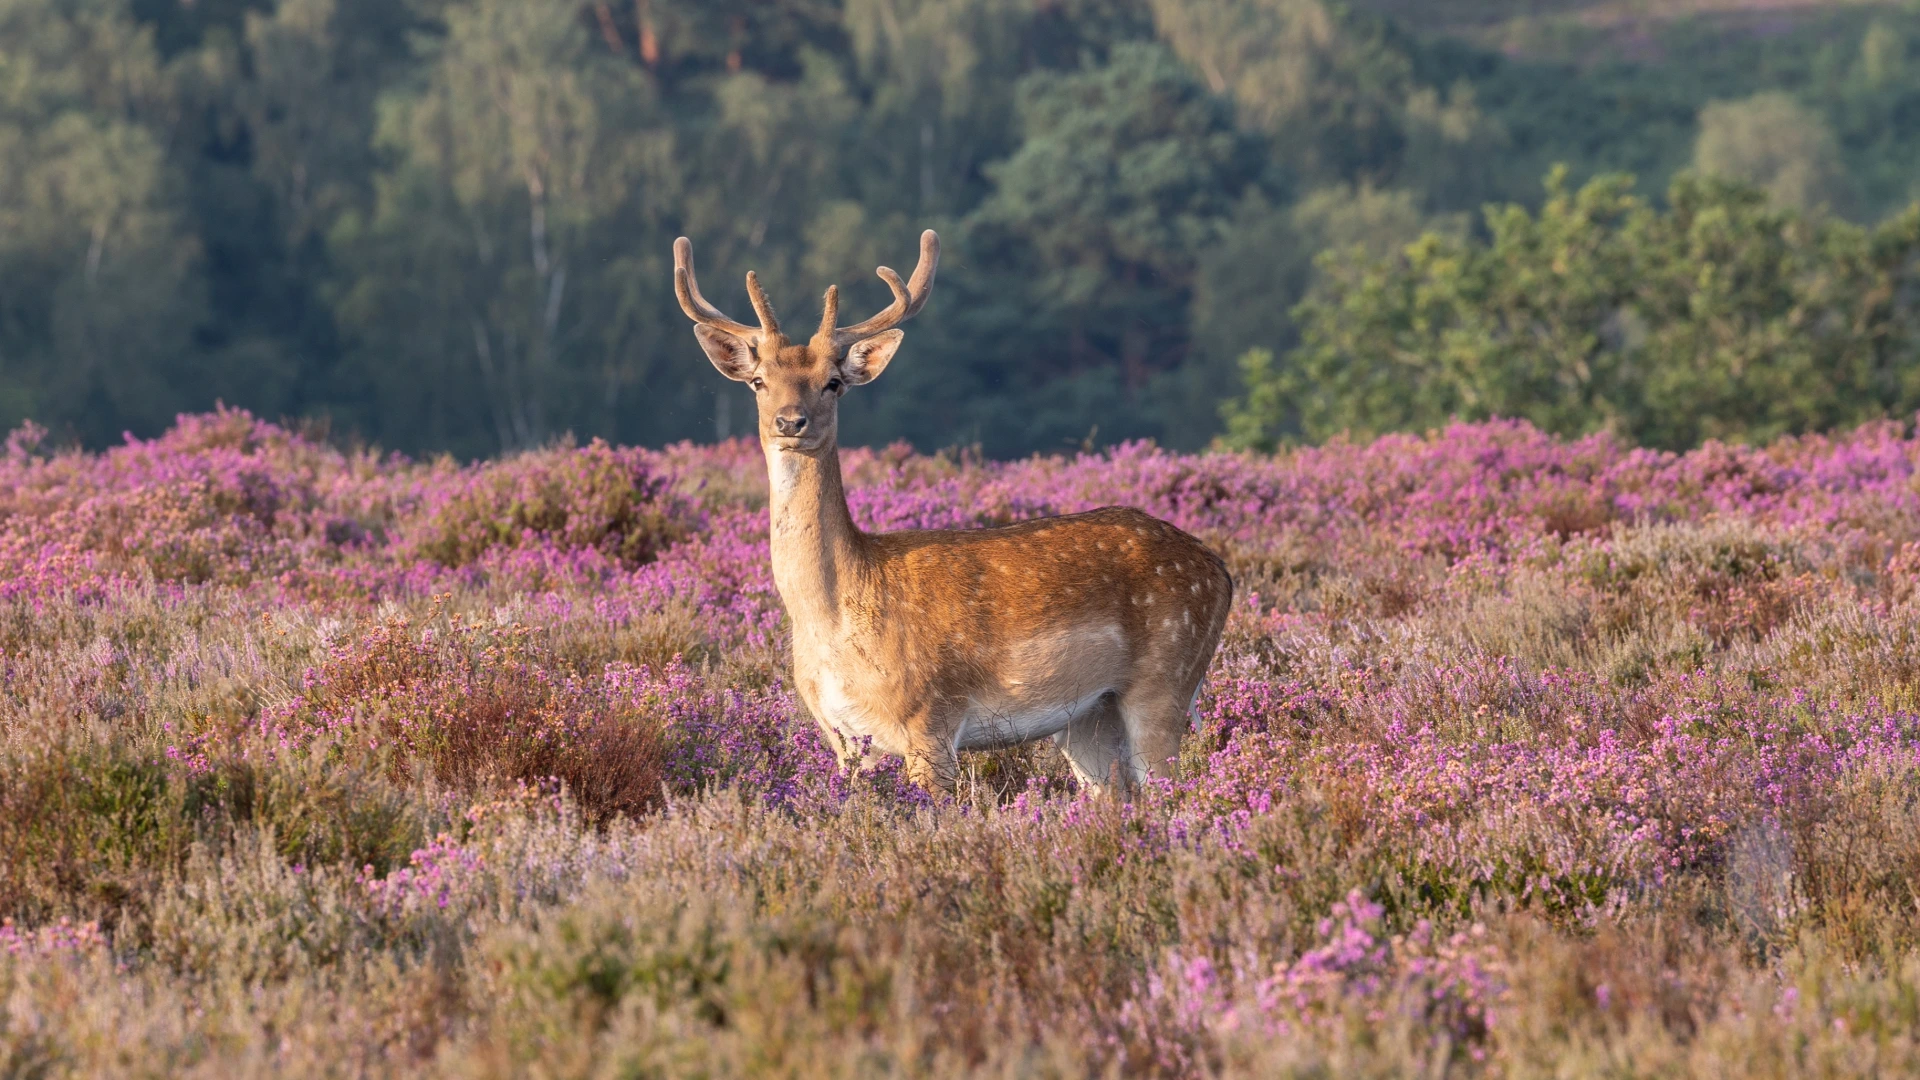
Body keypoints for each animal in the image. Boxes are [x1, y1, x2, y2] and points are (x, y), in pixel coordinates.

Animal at [675, 231, 1236, 795]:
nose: (791, 421)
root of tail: (1221, 571)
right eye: (758, 381)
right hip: (1090, 716)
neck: (833, 620)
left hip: (1166, 678)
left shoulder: (931, 717)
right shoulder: (843, 740)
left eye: (833, 381)